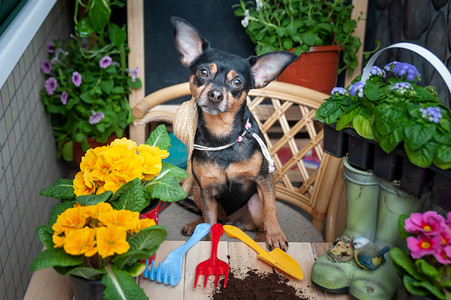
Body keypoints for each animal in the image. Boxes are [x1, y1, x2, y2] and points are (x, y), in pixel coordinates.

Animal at [171, 16, 298, 251]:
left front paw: (275, 236)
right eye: (203, 72)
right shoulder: (206, 191)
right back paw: (195, 225)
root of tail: (233, 221)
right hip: (197, 192)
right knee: (207, 218)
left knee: (260, 222)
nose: (215, 94)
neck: (223, 134)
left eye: (237, 82)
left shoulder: (265, 180)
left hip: (254, 202)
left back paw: (262, 237)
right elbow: (209, 223)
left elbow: (271, 210)